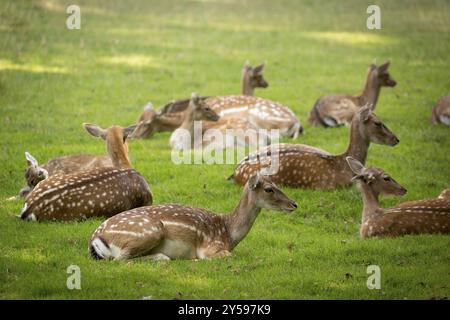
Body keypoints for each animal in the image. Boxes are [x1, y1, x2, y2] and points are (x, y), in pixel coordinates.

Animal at [89, 172, 298, 260]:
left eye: (277, 183)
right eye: (269, 189)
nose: (294, 204)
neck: (229, 234)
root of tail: (95, 239)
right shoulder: (211, 247)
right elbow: (226, 256)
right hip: (149, 231)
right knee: (120, 259)